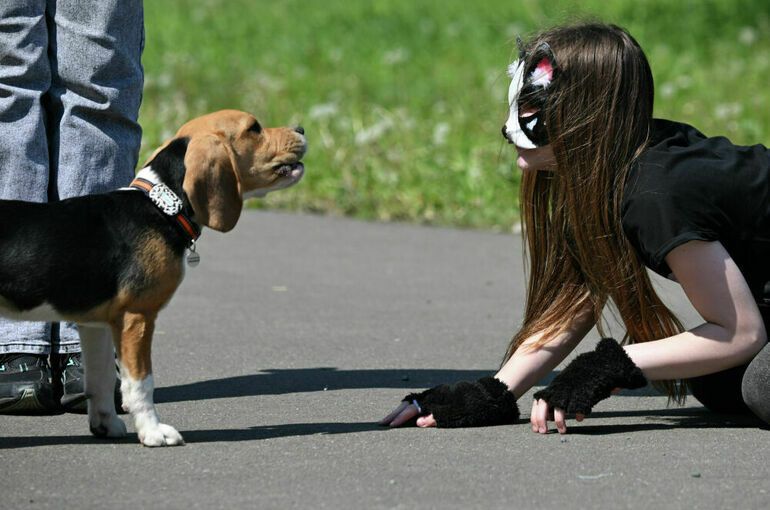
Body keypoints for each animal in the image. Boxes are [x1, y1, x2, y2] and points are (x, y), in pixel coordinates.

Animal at [0, 109, 304, 444]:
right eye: (254, 128)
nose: (302, 129)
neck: (162, 205)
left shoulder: (97, 324)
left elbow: (101, 379)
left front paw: (106, 424)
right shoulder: (137, 316)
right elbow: (141, 382)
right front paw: (153, 431)